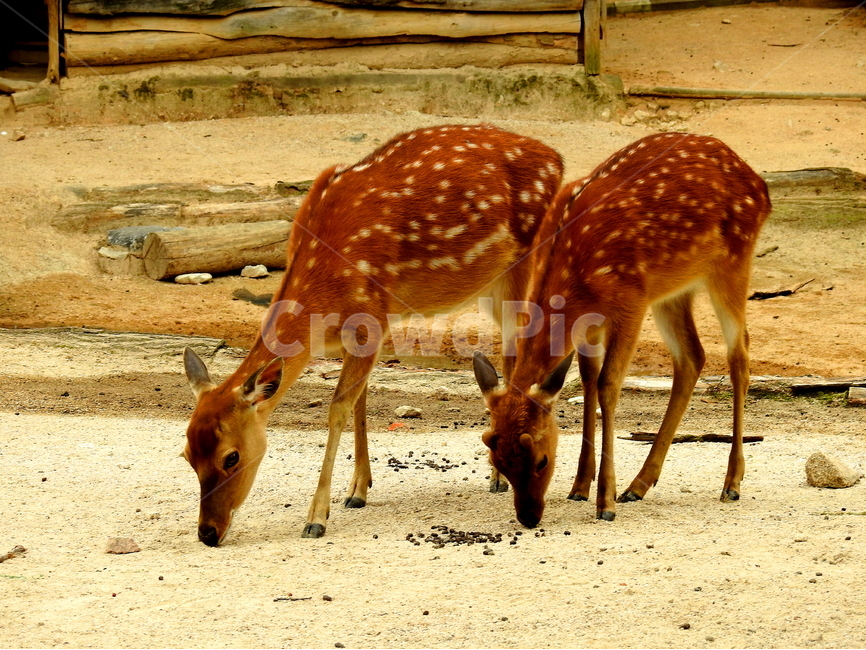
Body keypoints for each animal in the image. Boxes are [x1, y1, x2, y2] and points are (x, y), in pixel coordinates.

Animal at [181, 124, 564, 545]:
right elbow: (359, 402)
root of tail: (556, 158)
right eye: (186, 454)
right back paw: (496, 475)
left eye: (230, 456)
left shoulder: (372, 320)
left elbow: (337, 408)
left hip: (524, 267)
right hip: (490, 288)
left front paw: (316, 518)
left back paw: (500, 477)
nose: (208, 532)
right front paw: (357, 491)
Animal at [473, 132, 772, 527]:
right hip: (672, 290)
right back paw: (639, 484)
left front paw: (605, 502)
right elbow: (587, 379)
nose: (529, 517)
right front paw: (580, 486)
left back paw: (731, 483)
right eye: (497, 460)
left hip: (733, 261)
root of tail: (760, 185)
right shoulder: (593, 320)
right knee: (692, 356)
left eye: (541, 459)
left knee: (739, 355)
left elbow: (607, 385)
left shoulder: (631, 302)